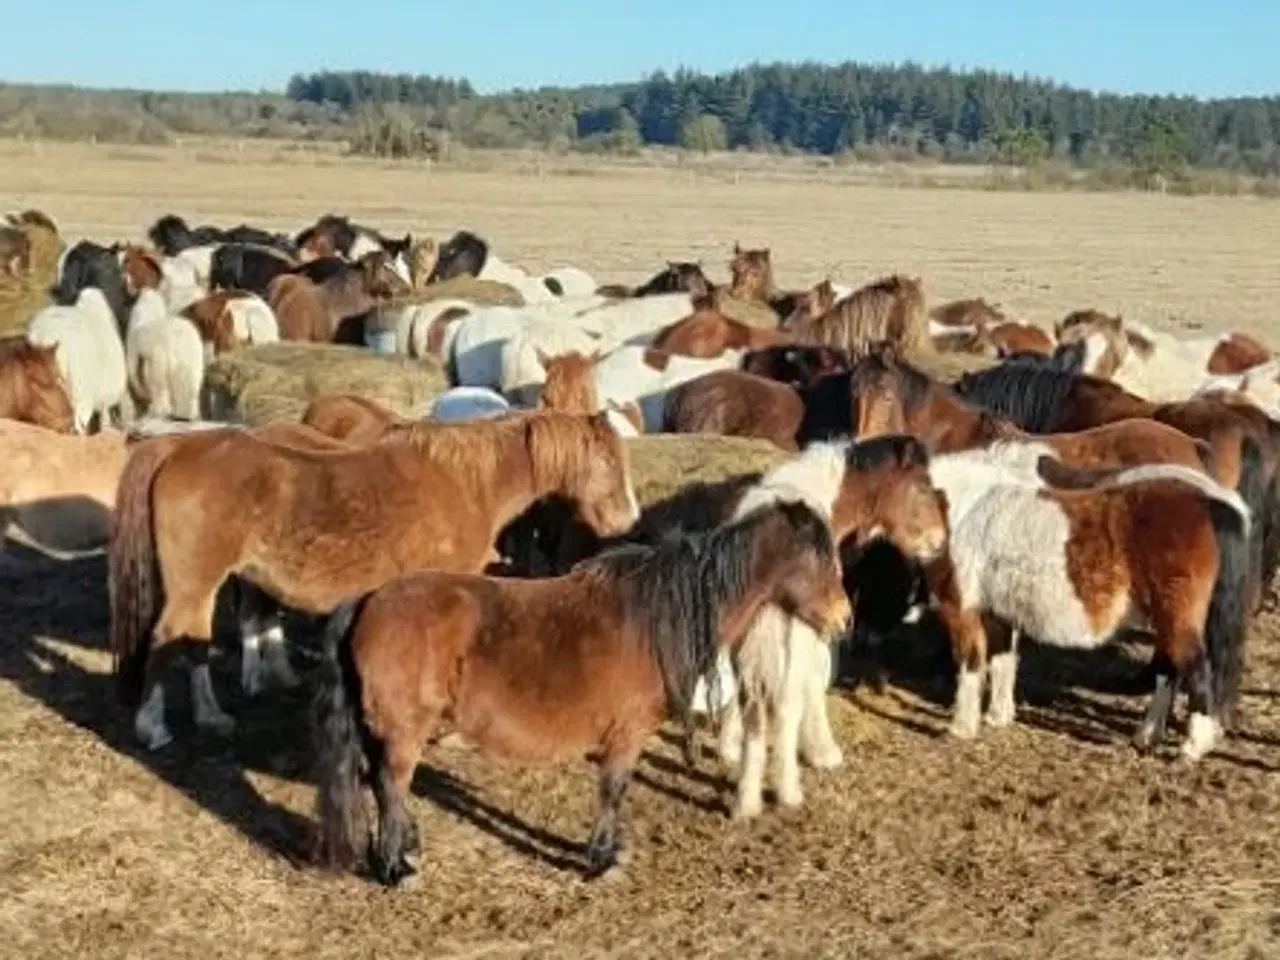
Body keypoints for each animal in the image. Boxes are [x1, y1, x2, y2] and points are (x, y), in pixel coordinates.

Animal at [126, 288, 206, 419]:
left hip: (161, 359)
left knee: (159, 385)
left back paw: (157, 411)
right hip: (190, 361)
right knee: (188, 386)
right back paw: (186, 413)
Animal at [308, 499, 849, 890]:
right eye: (817, 558)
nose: (844, 619)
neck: (654, 616)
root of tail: (369, 602)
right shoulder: (625, 736)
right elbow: (614, 791)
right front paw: (601, 861)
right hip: (403, 735)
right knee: (390, 786)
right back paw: (396, 868)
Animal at [921, 442, 1259, 768]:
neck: (968, 501)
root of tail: (1211, 502)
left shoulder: (962, 607)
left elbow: (973, 659)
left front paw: (962, 726)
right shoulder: (1000, 611)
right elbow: (1003, 658)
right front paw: (997, 716)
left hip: (1177, 617)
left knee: (1195, 668)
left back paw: (1191, 748)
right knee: (1170, 669)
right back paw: (1148, 736)